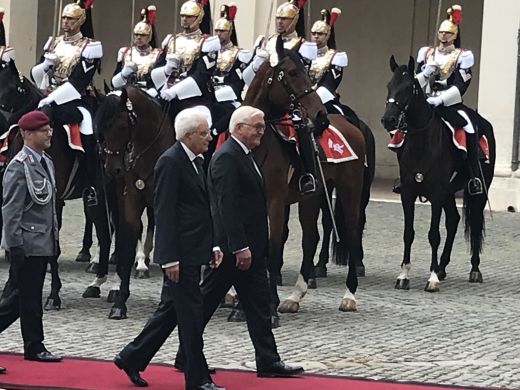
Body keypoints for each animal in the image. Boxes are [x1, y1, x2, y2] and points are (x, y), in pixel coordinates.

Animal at [94, 86, 174, 320]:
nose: (113, 169)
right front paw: (120, 301)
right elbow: (129, 239)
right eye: (100, 129)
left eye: (121, 126)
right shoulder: (130, 199)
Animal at [246, 36, 368, 322]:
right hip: (311, 197)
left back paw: (349, 295)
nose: (320, 115)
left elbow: (271, 247)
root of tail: (350, 125)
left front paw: (269, 305)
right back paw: (294, 297)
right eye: (292, 73)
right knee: (310, 238)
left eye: (307, 71)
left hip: (350, 191)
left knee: (352, 232)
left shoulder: (275, 201)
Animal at [382, 56, 496, 290]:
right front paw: (403, 275)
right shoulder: (408, 193)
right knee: (453, 220)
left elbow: (433, 234)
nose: (388, 120)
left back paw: (474, 270)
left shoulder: (435, 193)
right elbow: (408, 233)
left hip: (478, 190)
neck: (423, 143)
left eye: (408, 88)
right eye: (389, 86)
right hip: (449, 193)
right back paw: (442, 267)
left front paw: (432, 278)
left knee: (475, 223)